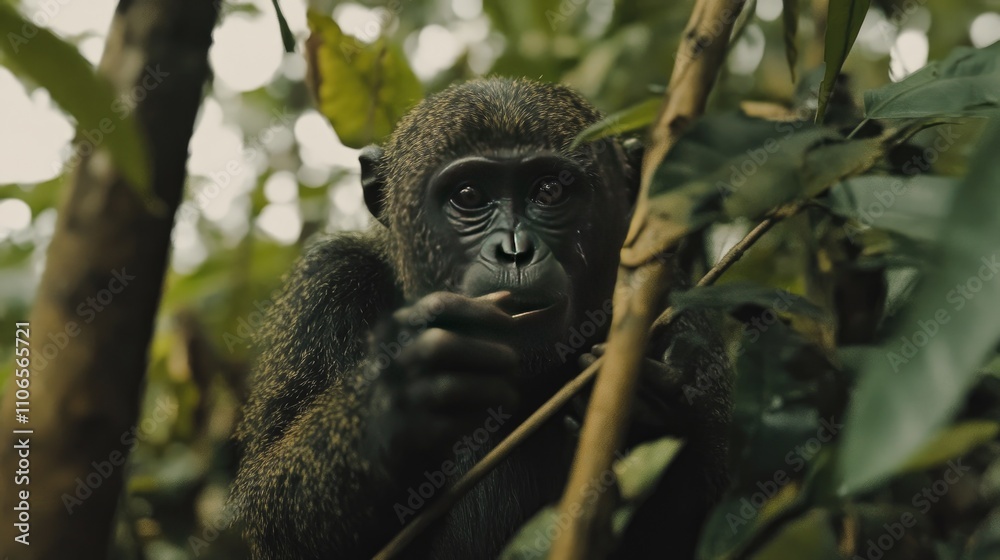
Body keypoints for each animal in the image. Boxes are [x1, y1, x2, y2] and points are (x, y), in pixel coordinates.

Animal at [230, 78, 733, 560]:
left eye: (549, 190)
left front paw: (647, 409)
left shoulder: (675, 298)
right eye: (469, 195)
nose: (515, 250)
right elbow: (275, 514)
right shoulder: (329, 284)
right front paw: (396, 399)